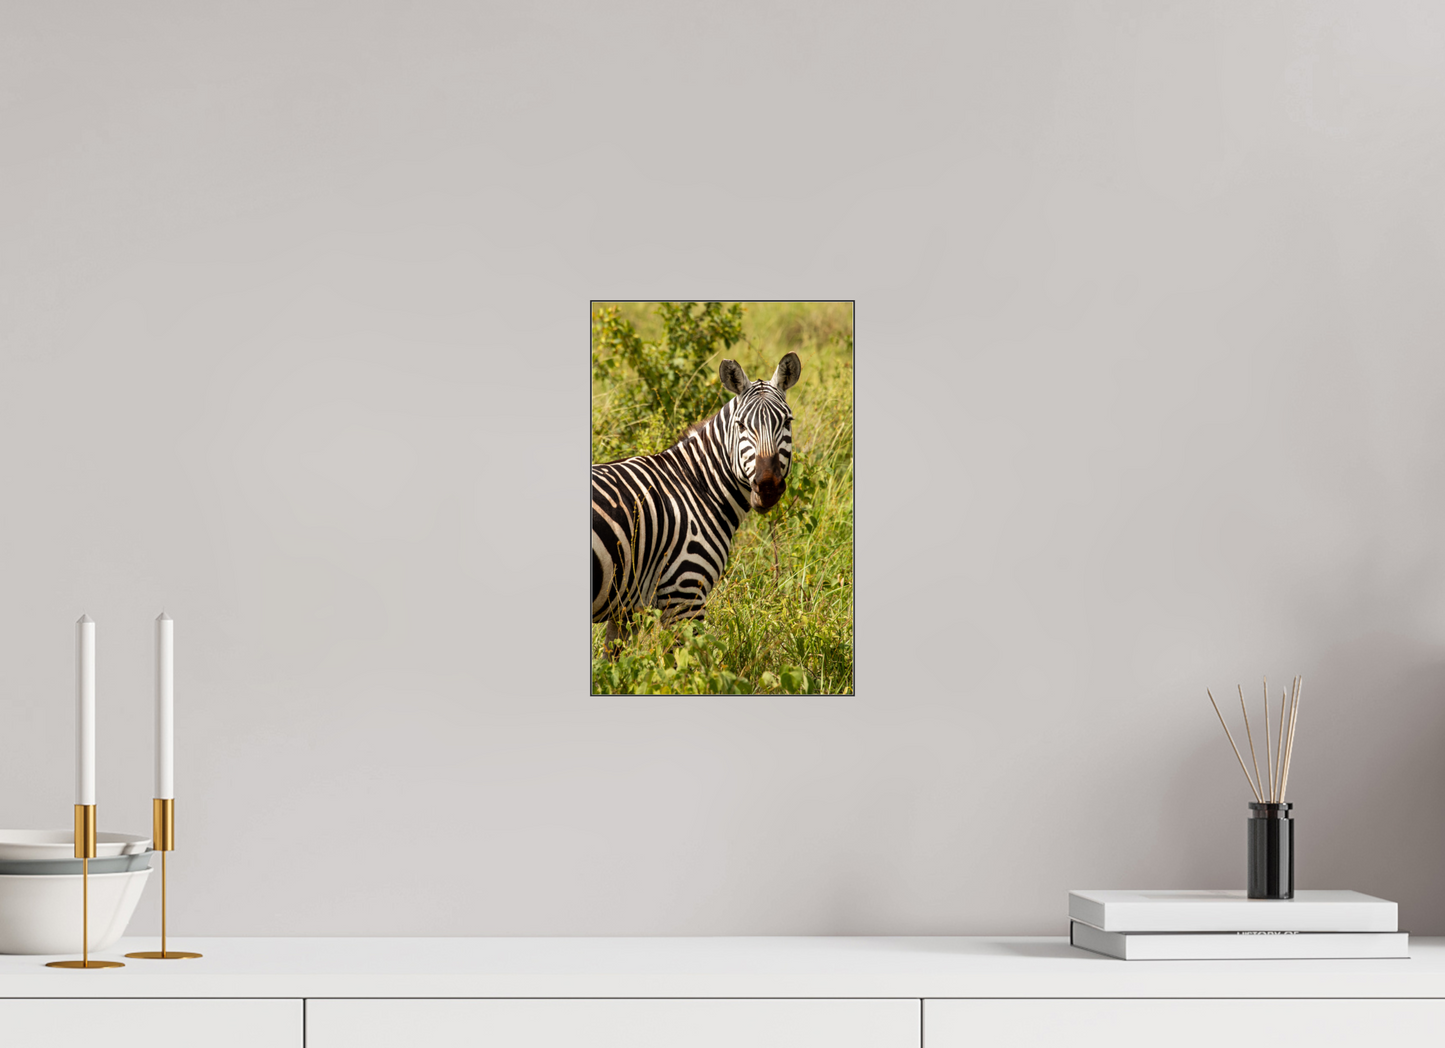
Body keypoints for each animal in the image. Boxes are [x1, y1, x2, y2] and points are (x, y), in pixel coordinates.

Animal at [592, 352, 802, 646]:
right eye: (740, 425)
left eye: (787, 422)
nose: (768, 487)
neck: (695, 484)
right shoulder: (685, 594)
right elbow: (690, 658)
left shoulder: (625, 609)